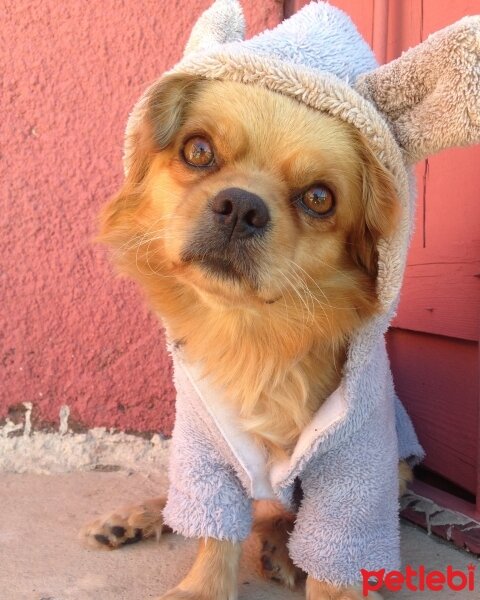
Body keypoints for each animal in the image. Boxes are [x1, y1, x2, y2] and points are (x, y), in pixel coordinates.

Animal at [82, 76, 412, 600]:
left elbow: (334, 566)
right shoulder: (208, 452)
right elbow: (215, 531)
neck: (255, 339)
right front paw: (201, 589)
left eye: (319, 198)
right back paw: (135, 518)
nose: (241, 205)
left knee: (283, 517)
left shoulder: (355, 474)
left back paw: (282, 549)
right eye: (198, 150)